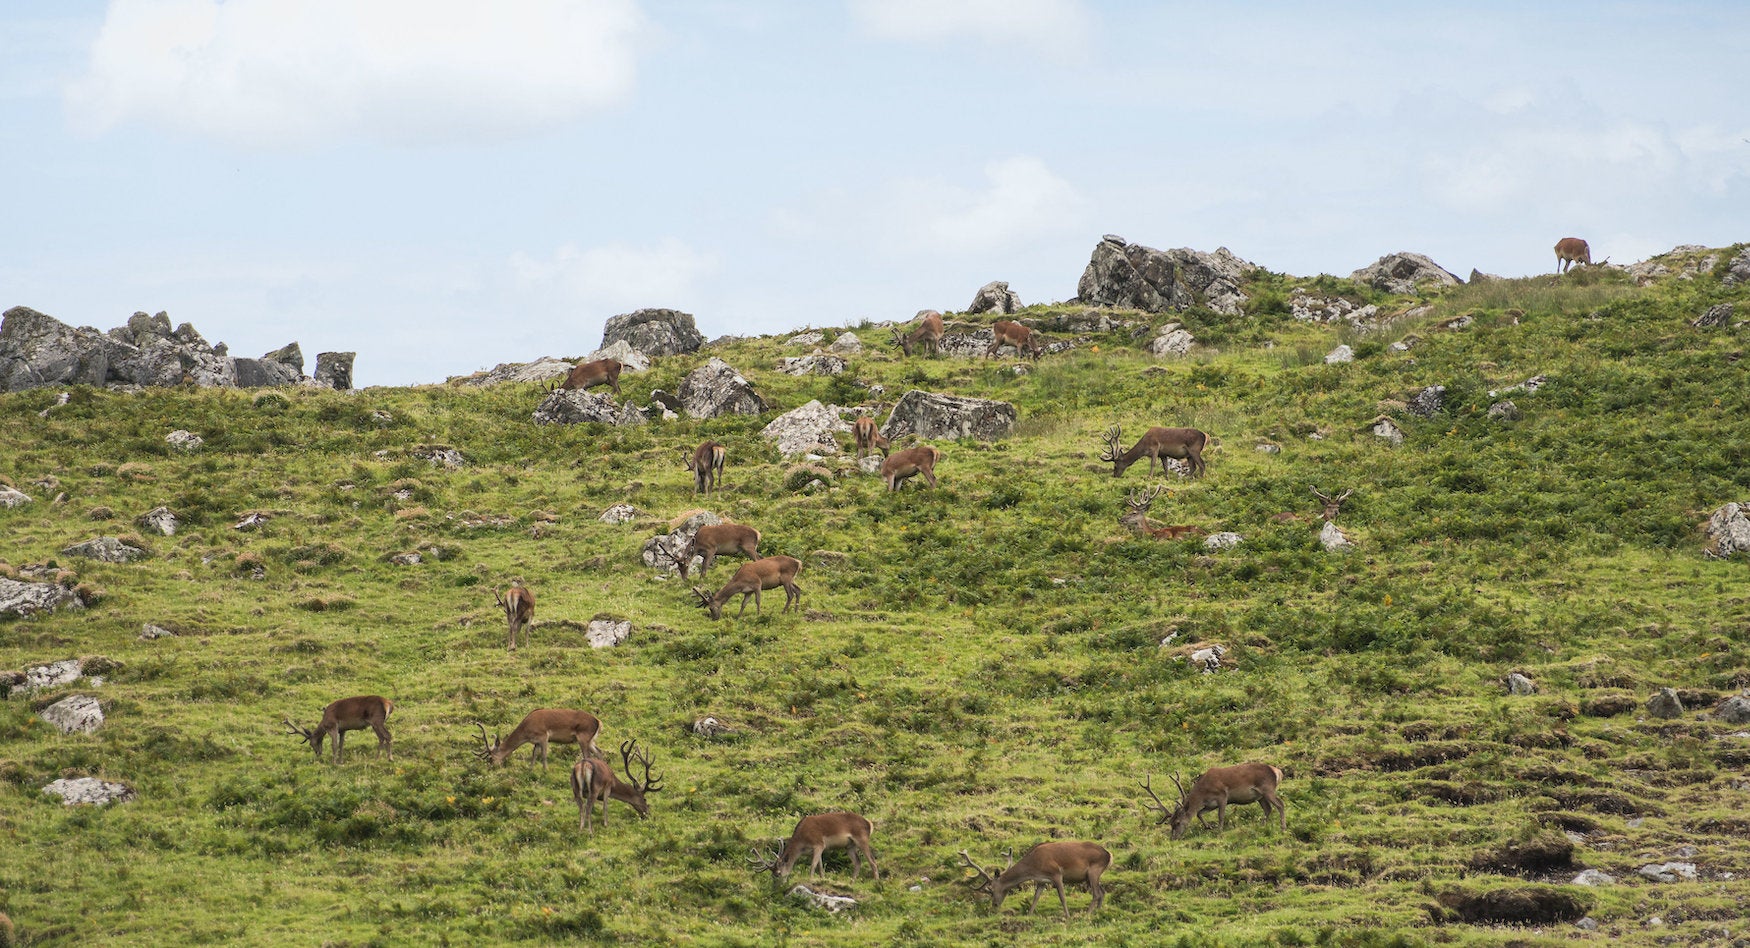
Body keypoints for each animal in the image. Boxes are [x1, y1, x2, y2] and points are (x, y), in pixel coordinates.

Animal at [748, 812, 879, 882]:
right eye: (772, 875)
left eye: (778, 873)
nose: (778, 885)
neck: (801, 842)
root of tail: (869, 823)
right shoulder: (816, 850)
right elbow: (820, 866)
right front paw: (822, 879)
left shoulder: (819, 844)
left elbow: (813, 865)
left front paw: (810, 879)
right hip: (850, 846)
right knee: (858, 861)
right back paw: (852, 882)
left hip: (862, 838)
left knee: (872, 861)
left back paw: (876, 882)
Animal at [959, 842, 1111, 918]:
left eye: (991, 890)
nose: (994, 905)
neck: (1034, 866)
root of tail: (1109, 855)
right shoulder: (1041, 880)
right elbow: (1036, 897)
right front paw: (1029, 914)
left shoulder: (1056, 873)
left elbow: (1062, 897)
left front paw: (1067, 916)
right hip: (1092, 876)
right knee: (1102, 892)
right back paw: (1098, 912)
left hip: (1093, 871)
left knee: (1096, 894)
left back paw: (1087, 914)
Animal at [1140, 764, 1287, 840]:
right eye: (1170, 823)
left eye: (1177, 822)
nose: (1173, 838)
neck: (1203, 792)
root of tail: (1278, 771)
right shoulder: (1210, 804)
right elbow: (1199, 813)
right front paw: (1208, 826)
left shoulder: (1222, 796)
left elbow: (1220, 815)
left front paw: (1219, 831)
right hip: (1260, 796)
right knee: (1268, 809)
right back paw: (1262, 825)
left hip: (1267, 788)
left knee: (1280, 804)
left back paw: (1283, 827)